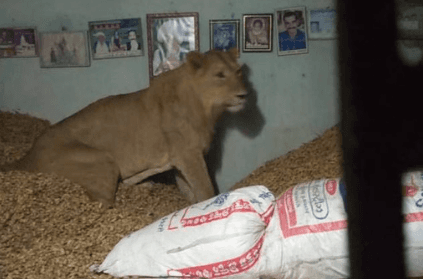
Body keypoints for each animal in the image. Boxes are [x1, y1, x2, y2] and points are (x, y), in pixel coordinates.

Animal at [1, 48, 248, 208]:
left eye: (238, 72)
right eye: (219, 75)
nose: (244, 95)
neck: (208, 108)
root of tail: (27, 157)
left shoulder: (181, 159)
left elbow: (189, 191)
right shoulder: (189, 155)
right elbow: (205, 189)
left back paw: (145, 186)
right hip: (102, 160)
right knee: (101, 204)